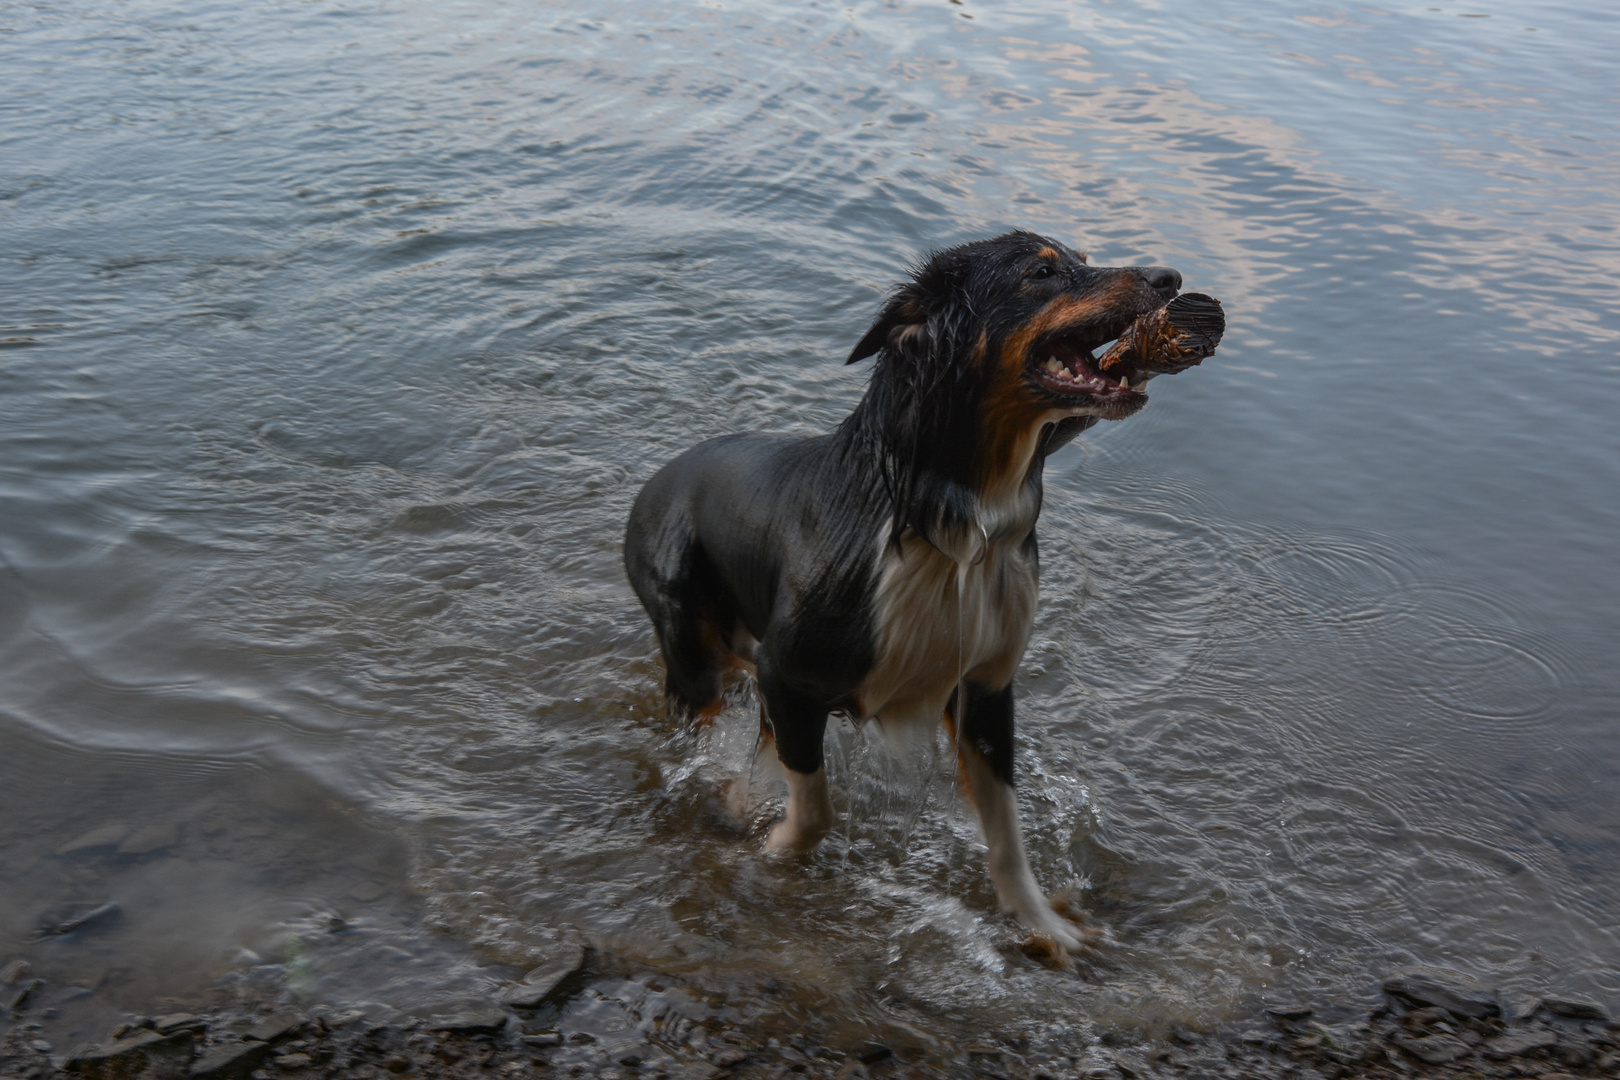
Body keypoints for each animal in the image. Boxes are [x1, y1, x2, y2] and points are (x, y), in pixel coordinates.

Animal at [618, 229, 1218, 952]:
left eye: (1078, 257)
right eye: (1042, 272)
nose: (1170, 276)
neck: (953, 517)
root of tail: (652, 483)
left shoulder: (985, 686)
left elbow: (1007, 834)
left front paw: (1043, 926)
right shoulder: (786, 674)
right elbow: (814, 808)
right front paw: (772, 849)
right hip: (691, 648)